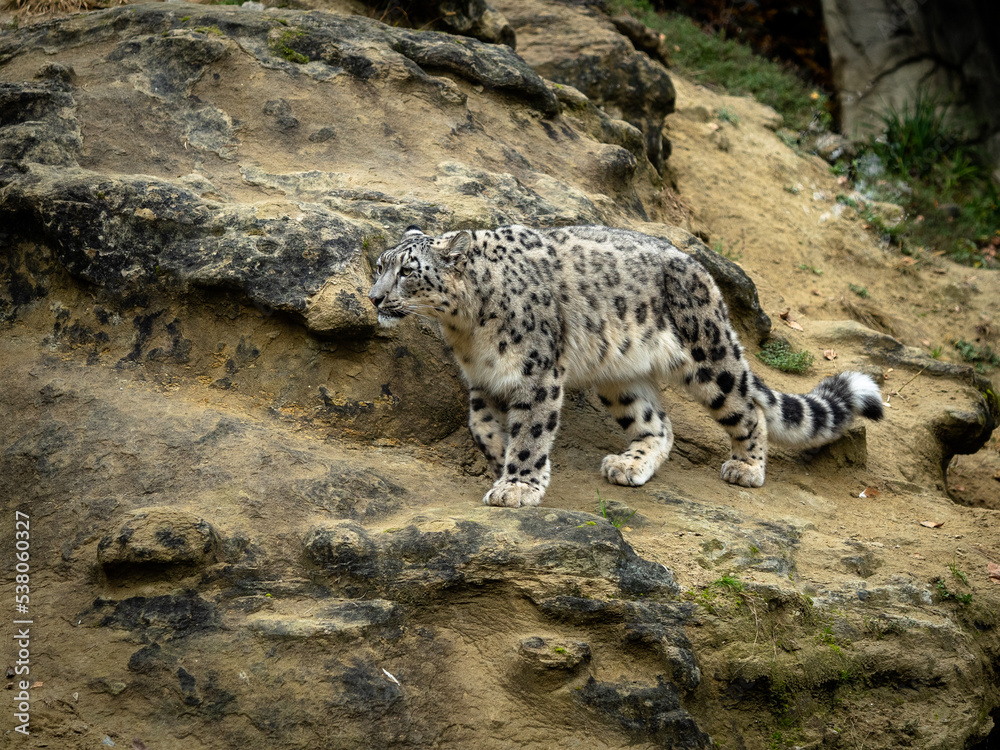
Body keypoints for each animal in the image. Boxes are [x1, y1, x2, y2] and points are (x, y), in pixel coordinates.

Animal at [368, 226, 884, 508]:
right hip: (620, 379)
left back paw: (746, 467)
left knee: (747, 407)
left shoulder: (536, 373)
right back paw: (629, 465)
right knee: (658, 424)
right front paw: (503, 464)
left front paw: (518, 485)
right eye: (378, 266)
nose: (373, 297)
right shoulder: (483, 380)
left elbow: (531, 430)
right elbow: (480, 426)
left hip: (708, 356)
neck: (466, 329)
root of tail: (704, 272)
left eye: (407, 271)